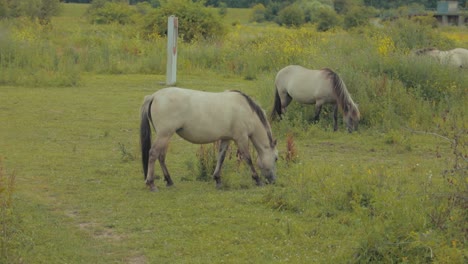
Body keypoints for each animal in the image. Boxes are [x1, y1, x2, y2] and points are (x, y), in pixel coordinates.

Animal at [139, 87, 278, 191]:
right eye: (276, 158)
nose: (273, 180)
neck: (245, 110)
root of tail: (154, 96)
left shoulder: (226, 139)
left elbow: (221, 158)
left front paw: (218, 180)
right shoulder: (241, 138)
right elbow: (248, 159)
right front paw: (257, 180)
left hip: (165, 136)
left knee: (161, 156)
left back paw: (169, 181)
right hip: (164, 135)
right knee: (153, 154)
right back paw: (151, 184)